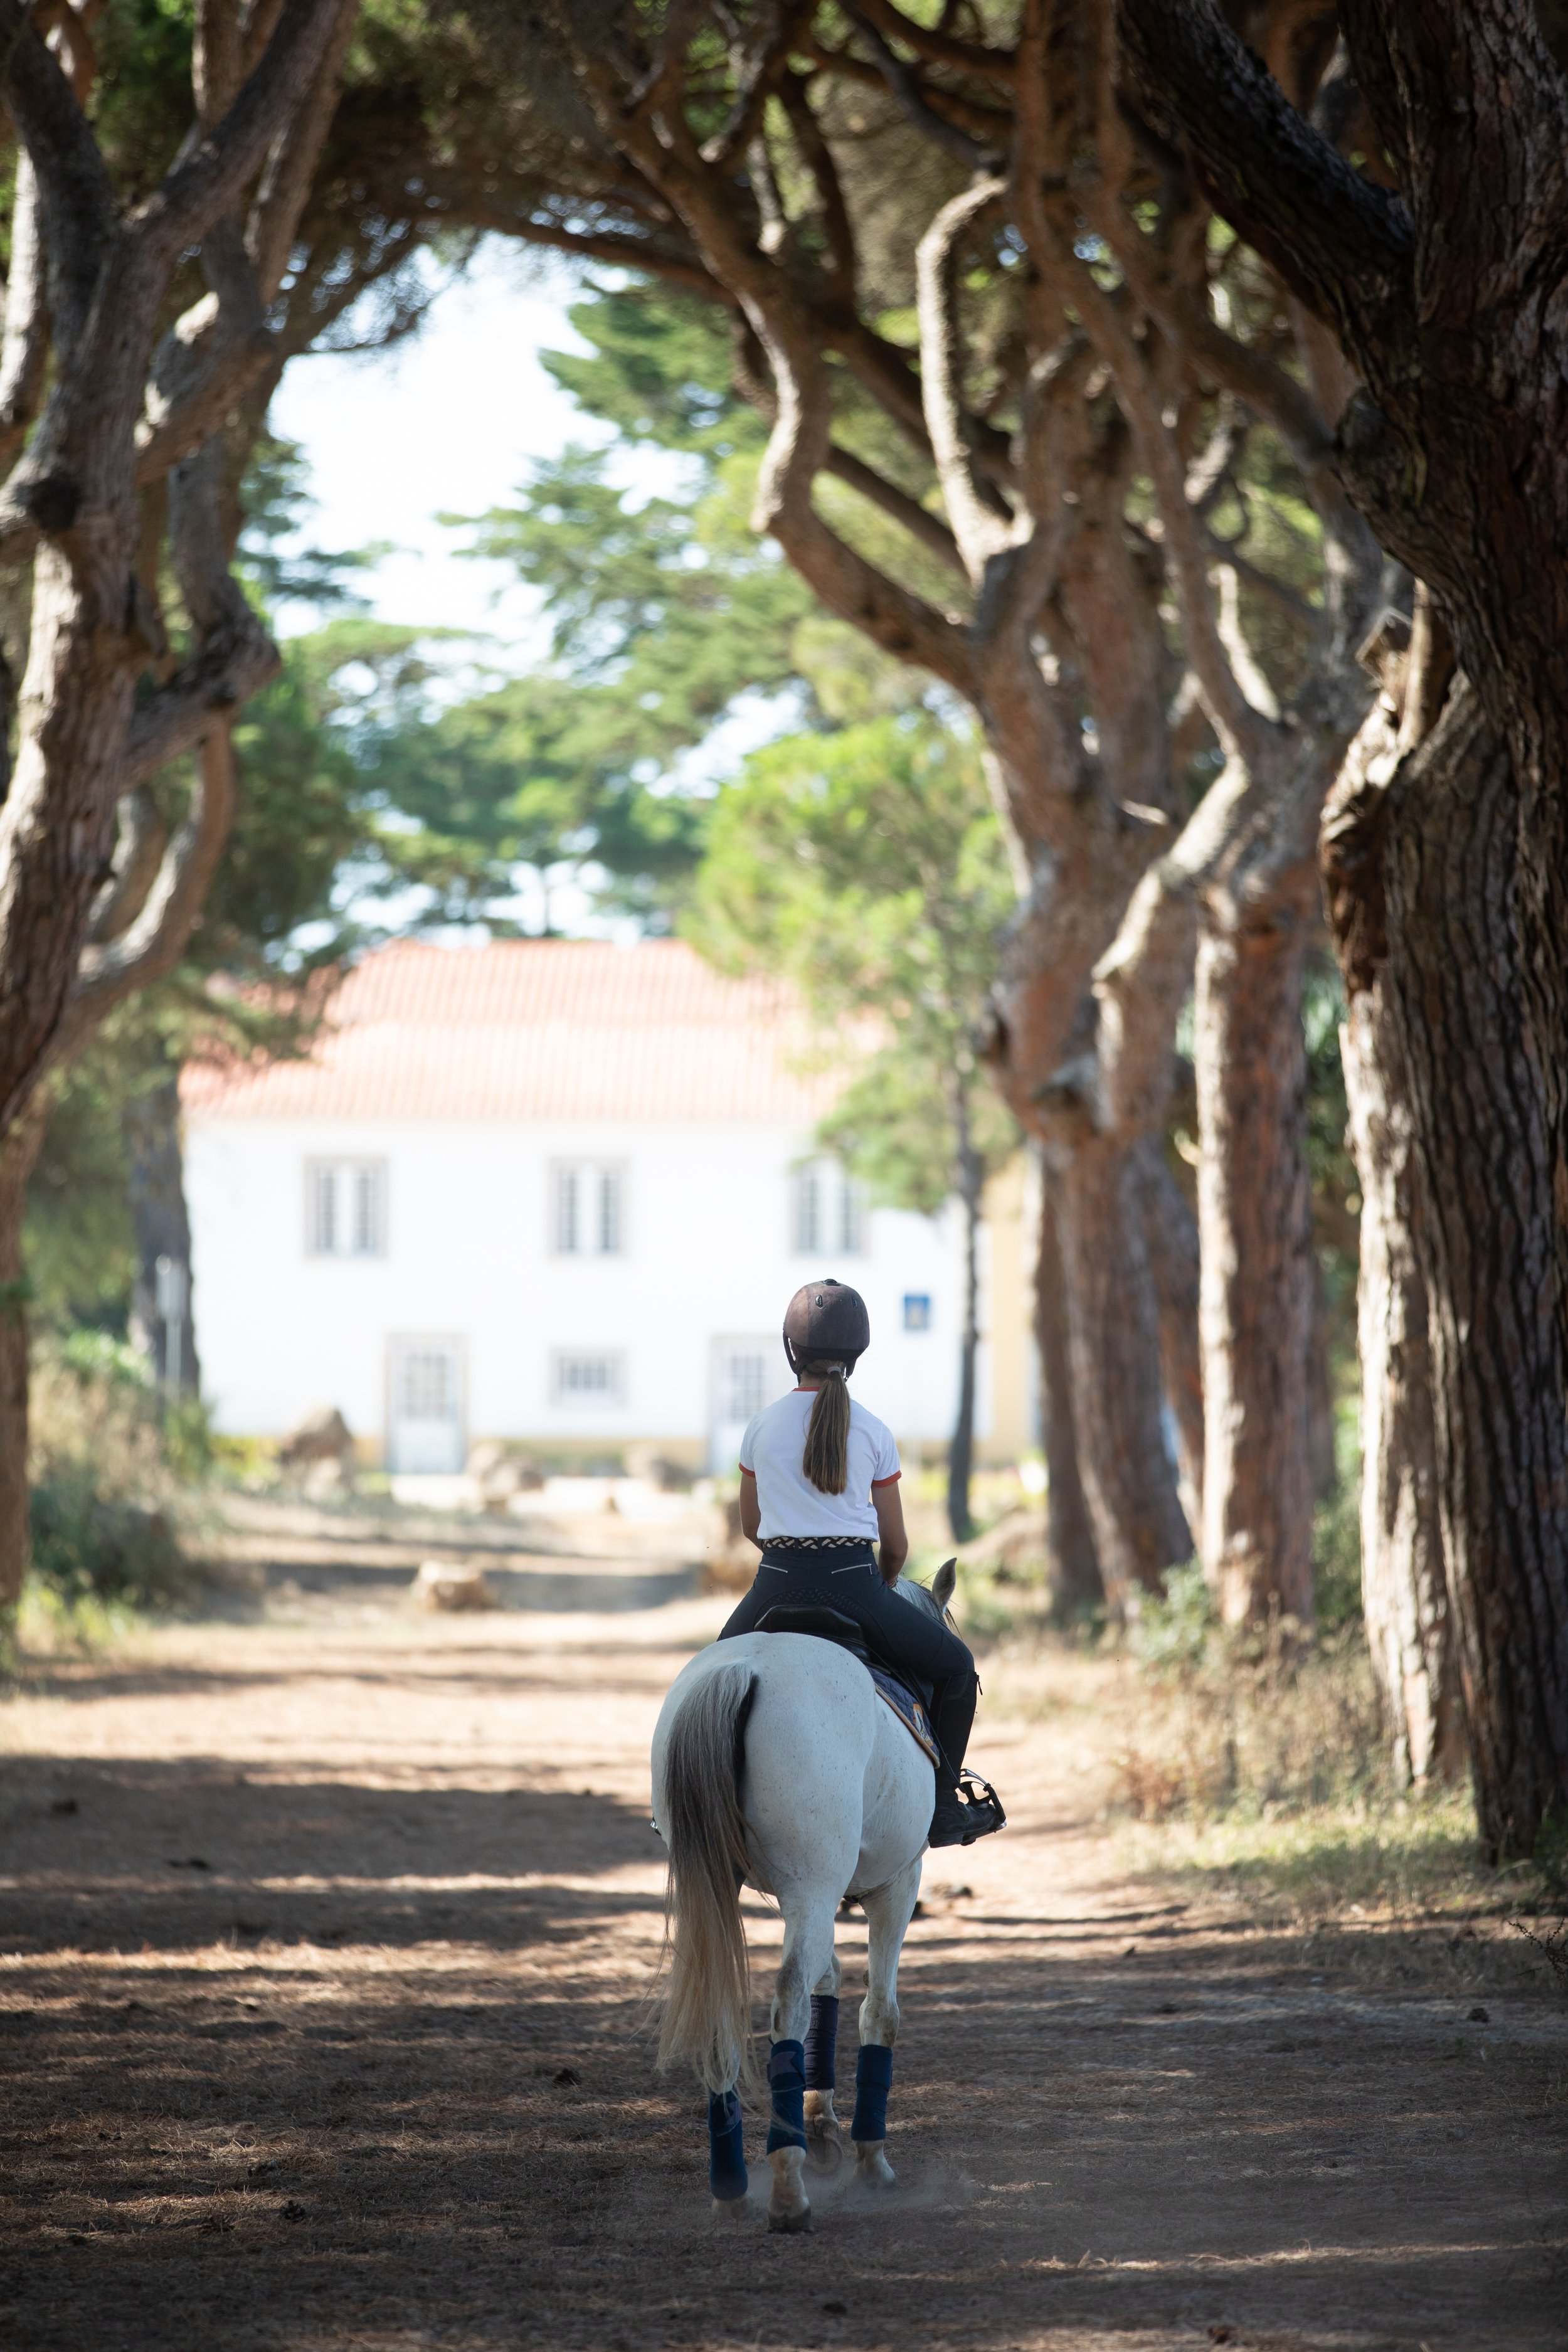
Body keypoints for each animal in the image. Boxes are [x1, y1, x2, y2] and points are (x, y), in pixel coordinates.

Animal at [649, 1571, 959, 2230]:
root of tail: (743, 1671)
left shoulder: (813, 1892)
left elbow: (830, 1981)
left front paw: (820, 2127)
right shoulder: (897, 1883)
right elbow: (879, 2013)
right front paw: (869, 2160)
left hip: (729, 1887)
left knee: (724, 2004)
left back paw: (733, 2183)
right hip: (822, 1887)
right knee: (788, 2000)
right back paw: (788, 2190)